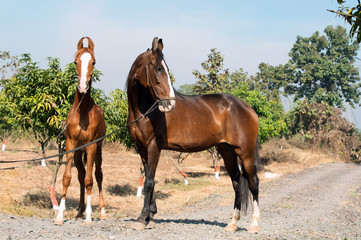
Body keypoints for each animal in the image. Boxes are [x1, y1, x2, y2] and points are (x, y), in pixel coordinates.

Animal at [54, 36, 106, 224]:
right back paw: (79, 212)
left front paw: (89, 217)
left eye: (93, 62)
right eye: (75, 61)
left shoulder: (91, 146)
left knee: (97, 174)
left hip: (98, 149)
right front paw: (60, 215)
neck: (82, 111)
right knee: (81, 175)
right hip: (78, 153)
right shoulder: (70, 145)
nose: (83, 87)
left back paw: (101, 211)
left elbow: (90, 179)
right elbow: (67, 178)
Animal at [126, 37, 258, 232]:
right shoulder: (142, 148)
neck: (144, 110)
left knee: (253, 182)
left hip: (245, 152)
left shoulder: (153, 146)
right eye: (158, 68)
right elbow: (151, 178)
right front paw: (151, 214)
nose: (169, 103)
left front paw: (143, 219)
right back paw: (232, 223)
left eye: (165, 68)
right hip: (227, 151)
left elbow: (149, 181)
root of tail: (248, 108)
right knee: (236, 182)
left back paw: (255, 224)